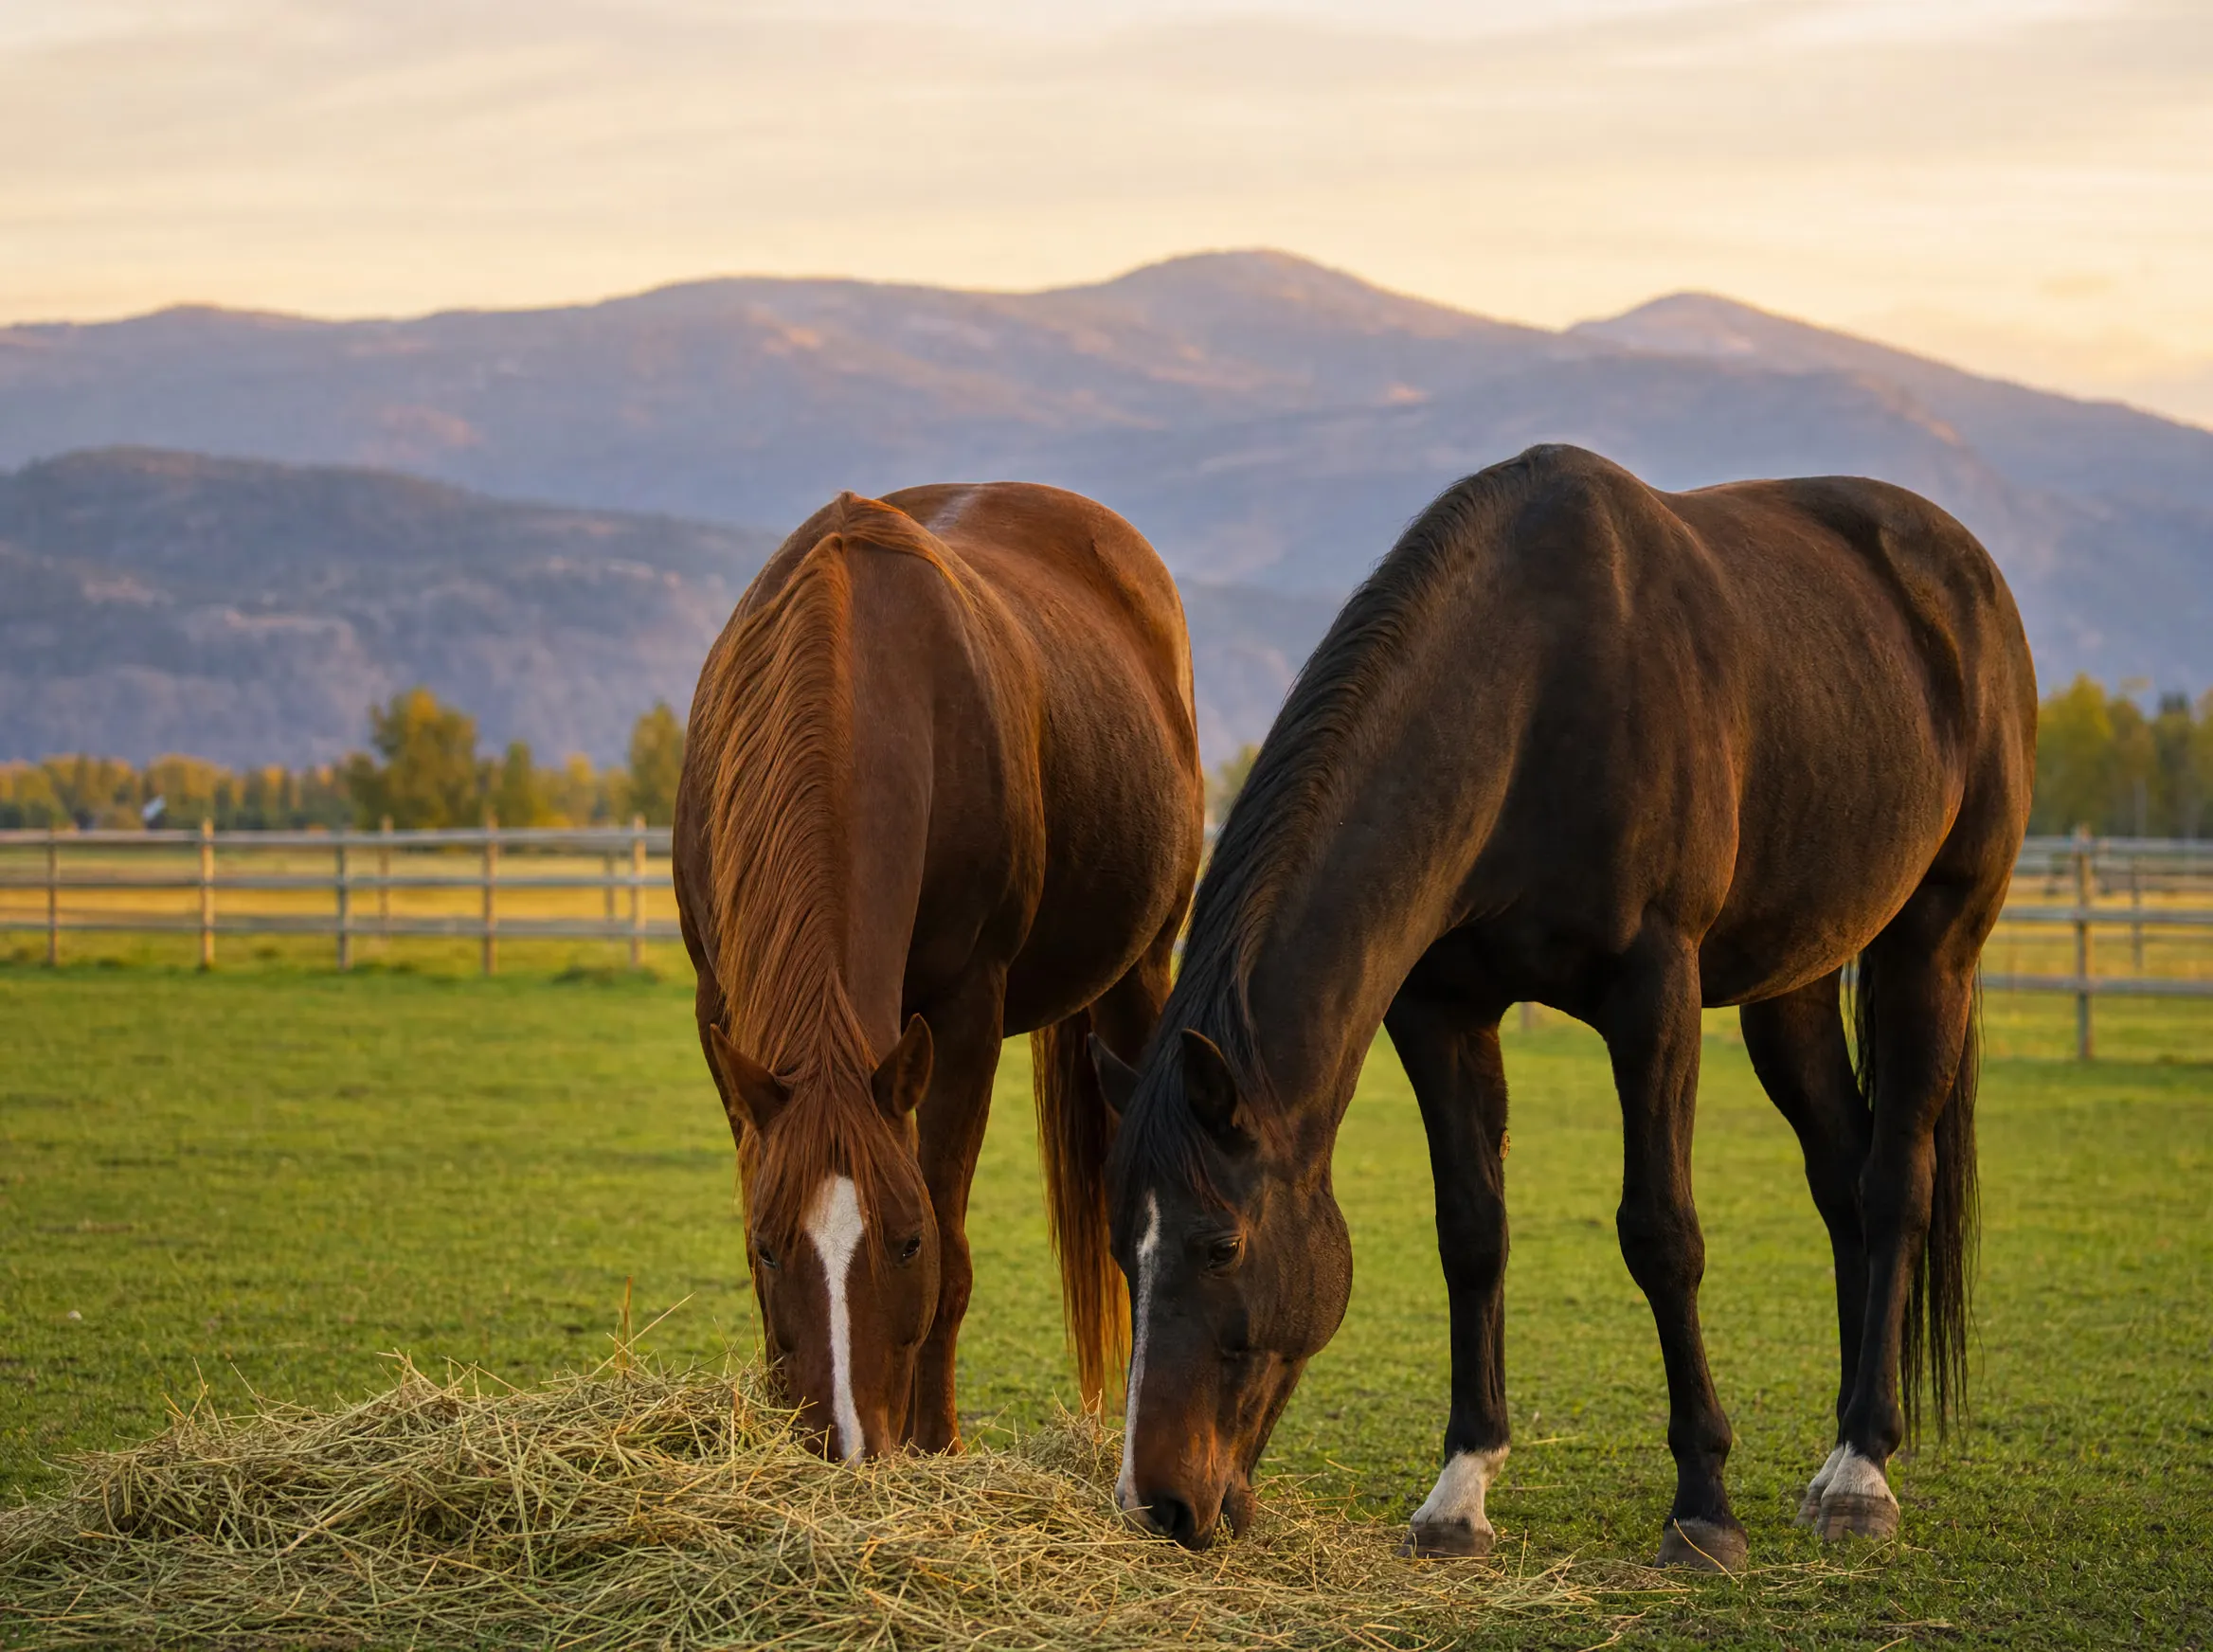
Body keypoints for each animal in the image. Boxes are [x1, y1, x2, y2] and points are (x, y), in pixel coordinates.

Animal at [673, 483, 1203, 1460]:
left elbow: (956, 1252)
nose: (845, 1442)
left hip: (1139, 976)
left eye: (906, 1241)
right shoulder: (720, 1013)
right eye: (770, 1246)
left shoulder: (966, 1014)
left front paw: (936, 1447)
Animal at [1093, 444, 2034, 1568]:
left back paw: (1861, 1474)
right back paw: (1844, 1444)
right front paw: (1458, 1494)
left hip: (1933, 944)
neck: (1530, 695)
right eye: (1120, 1245)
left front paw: (1702, 1503)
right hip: (1792, 985)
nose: (1156, 1505)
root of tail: (1964, 571)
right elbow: (1470, 1230)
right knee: (1842, 1180)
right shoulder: (1441, 1006)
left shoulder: (1654, 992)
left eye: (1221, 1244)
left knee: (1895, 1184)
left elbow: (1660, 1234)